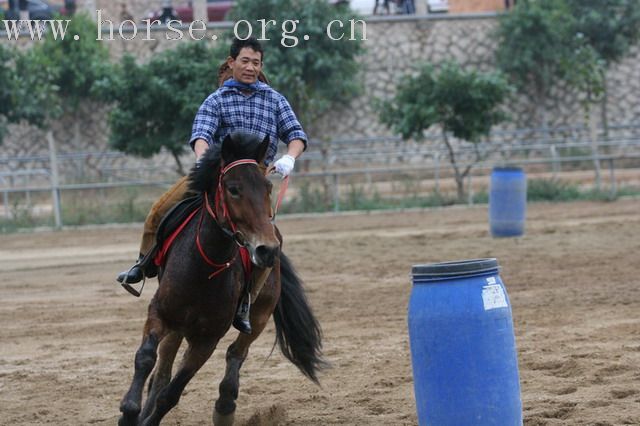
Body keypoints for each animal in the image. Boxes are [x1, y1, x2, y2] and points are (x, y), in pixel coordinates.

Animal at [119, 133, 324, 426]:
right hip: (178, 324)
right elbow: (146, 358)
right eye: (233, 189)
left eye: (267, 188)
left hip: (259, 316)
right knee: (162, 370)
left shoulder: (208, 339)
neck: (203, 268)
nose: (266, 249)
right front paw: (129, 413)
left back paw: (225, 405)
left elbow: (173, 392)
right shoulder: (160, 313)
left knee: (236, 353)